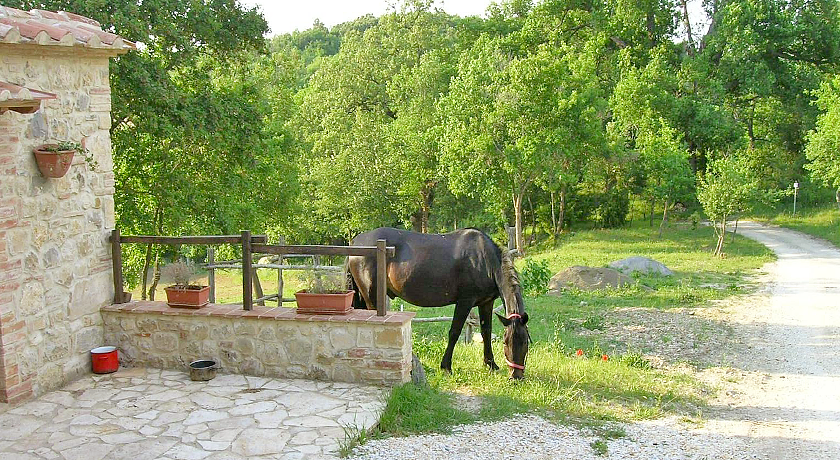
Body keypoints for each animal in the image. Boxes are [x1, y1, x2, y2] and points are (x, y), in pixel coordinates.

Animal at [348, 228, 532, 380]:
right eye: (506, 342)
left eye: (525, 342)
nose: (516, 376)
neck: (485, 259)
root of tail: (356, 243)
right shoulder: (465, 301)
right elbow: (454, 332)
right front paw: (446, 367)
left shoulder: (486, 303)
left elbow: (486, 331)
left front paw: (491, 364)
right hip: (372, 298)